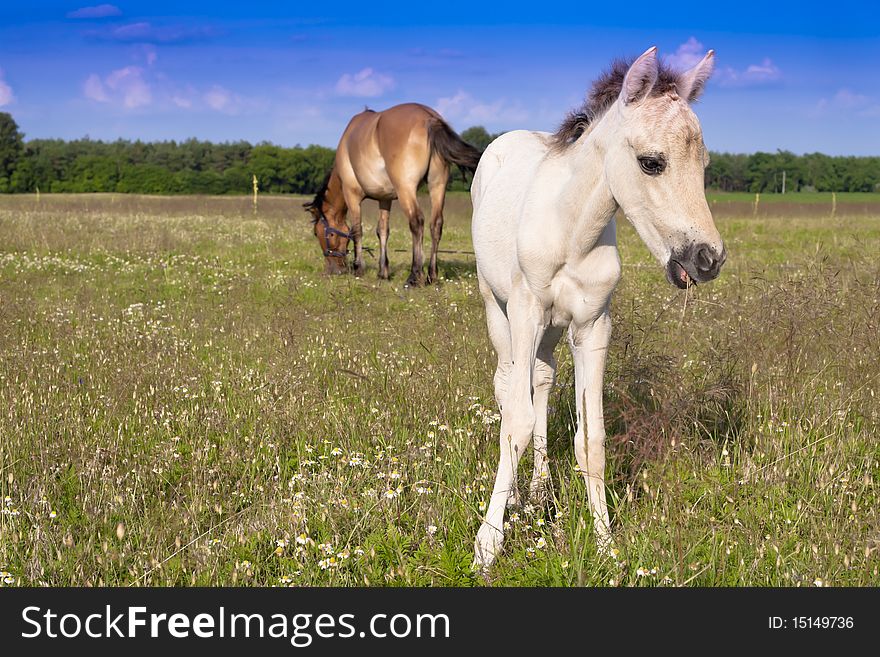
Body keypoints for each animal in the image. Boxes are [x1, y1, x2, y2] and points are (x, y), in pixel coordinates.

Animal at [302, 102, 482, 284]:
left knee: (417, 222)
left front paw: (358, 268)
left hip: (406, 189)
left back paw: (414, 276)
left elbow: (356, 230)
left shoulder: (352, 195)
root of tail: (429, 118)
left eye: (317, 233)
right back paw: (432, 275)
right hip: (437, 186)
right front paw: (383, 272)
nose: (333, 270)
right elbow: (382, 231)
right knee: (436, 224)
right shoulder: (385, 199)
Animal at [470, 44, 724, 568]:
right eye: (652, 162)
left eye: (704, 164)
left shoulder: (593, 325)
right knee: (507, 385)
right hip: (496, 307)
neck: (572, 230)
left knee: (542, 378)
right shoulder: (526, 310)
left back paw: (538, 491)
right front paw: (488, 543)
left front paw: (606, 543)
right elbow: (516, 421)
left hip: (552, 330)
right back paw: (517, 499)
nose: (708, 259)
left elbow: (592, 436)